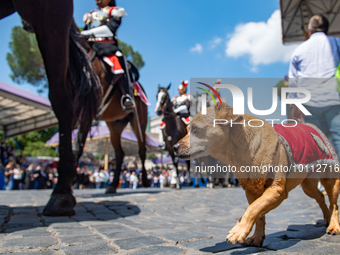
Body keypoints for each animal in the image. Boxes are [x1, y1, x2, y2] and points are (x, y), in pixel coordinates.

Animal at [79, 34, 149, 193]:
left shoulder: (87, 111)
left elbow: (77, 145)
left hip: (139, 123)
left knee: (142, 150)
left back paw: (145, 180)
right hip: (114, 126)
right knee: (119, 153)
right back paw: (113, 184)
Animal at [174, 104, 340, 247]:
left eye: (196, 129)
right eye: (187, 129)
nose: (174, 147)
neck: (240, 154)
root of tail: (312, 126)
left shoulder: (277, 191)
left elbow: (253, 209)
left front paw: (238, 231)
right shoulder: (252, 191)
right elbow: (258, 214)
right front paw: (257, 237)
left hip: (330, 179)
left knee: (334, 203)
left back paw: (333, 225)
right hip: (308, 185)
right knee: (320, 196)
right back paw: (326, 218)